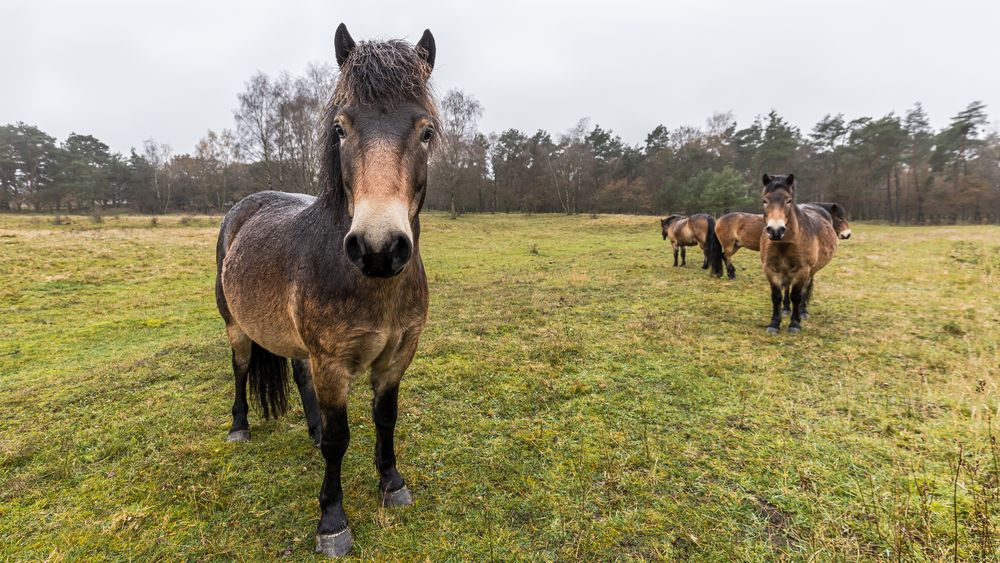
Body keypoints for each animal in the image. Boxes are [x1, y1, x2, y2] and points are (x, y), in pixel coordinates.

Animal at [215, 23, 438, 560]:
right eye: (340, 128)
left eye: (425, 131)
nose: (379, 248)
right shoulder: (333, 365)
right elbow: (341, 438)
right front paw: (332, 521)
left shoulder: (398, 356)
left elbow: (386, 418)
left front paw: (392, 484)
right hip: (236, 327)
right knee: (241, 369)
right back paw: (239, 427)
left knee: (299, 375)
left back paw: (311, 429)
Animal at [720, 203, 852, 282]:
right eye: (840, 218)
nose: (847, 234)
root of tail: (721, 219)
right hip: (729, 245)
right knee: (726, 256)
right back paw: (731, 275)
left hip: (736, 245)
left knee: (724, 256)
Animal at [760, 175, 840, 334]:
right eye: (765, 200)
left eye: (788, 200)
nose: (775, 230)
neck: (785, 243)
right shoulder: (770, 269)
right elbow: (776, 296)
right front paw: (774, 323)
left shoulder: (802, 270)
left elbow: (797, 296)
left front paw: (794, 324)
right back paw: (786, 309)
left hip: (809, 272)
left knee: (804, 290)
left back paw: (802, 312)